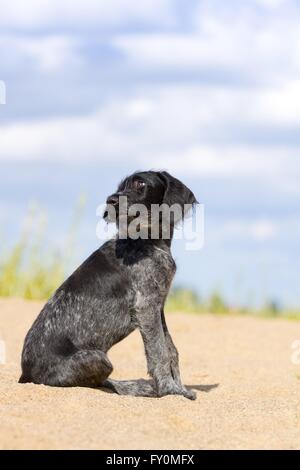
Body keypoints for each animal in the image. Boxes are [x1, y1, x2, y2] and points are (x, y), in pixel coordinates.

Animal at [18, 171, 197, 398]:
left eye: (140, 184)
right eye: (120, 188)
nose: (111, 201)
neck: (147, 240)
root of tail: (26, 373)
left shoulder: (157, 304)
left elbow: (170, 349)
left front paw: (179, 388)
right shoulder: (146, 307)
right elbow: (159, 353)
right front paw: (169, 390)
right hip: (98, 358)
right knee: (98, 383)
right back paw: (135, 387)